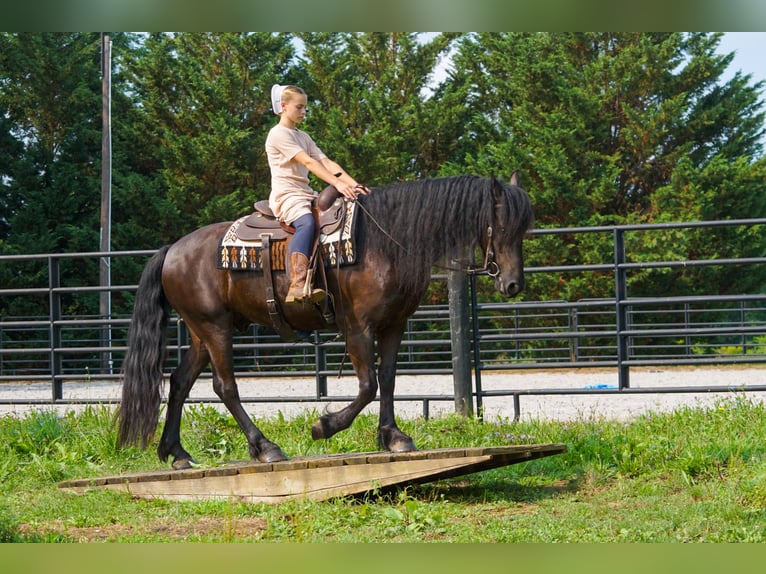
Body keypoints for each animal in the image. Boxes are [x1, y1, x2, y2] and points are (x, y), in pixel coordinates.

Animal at [116, 173, 534, 469]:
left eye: (524, 229)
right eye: (501, 225)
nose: (513, 284)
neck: (384, 242)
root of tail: (173, 249)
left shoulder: (394, 325)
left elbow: (387, 379)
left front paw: (393, 436)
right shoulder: (358, 328)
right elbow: (367, 385)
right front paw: (325, 426)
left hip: (202, 332)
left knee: (180, 382)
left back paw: (176, 452)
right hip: (215, 328)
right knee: (225, 386)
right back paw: (265, 447)